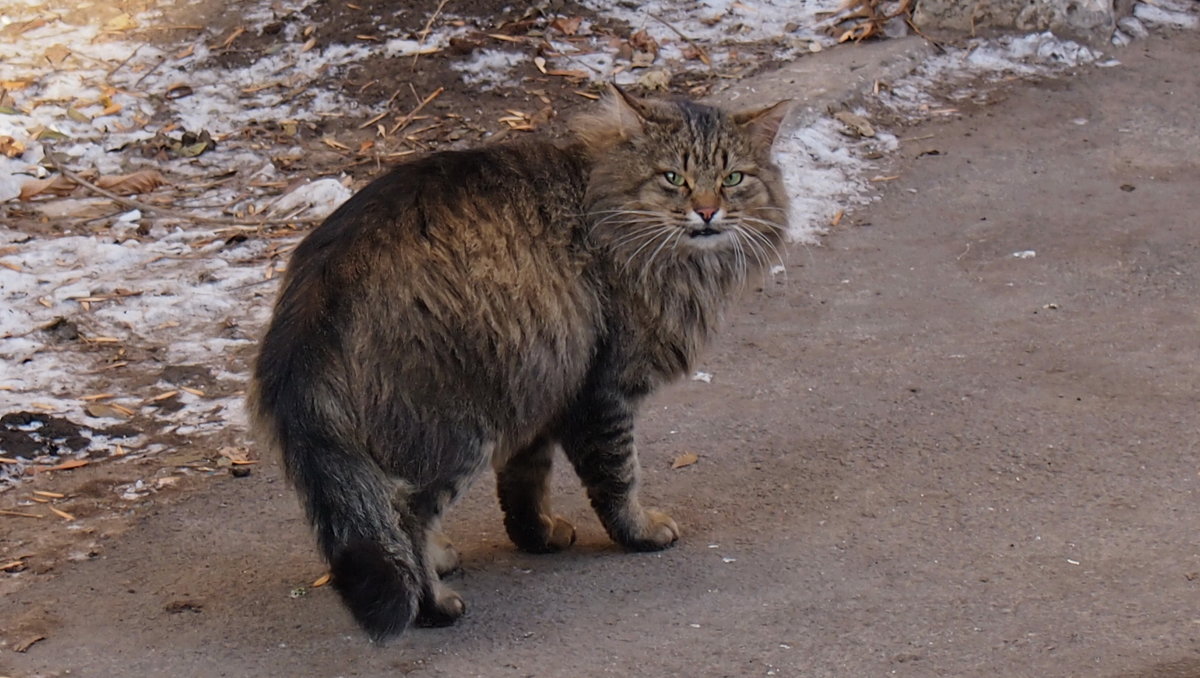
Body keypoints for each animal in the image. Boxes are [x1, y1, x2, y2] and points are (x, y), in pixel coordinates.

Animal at [248, 85, 792, 638]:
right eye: (673, 178)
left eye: (733, 179)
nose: (707, 212)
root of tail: (312, 296)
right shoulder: (604, 390)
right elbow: (618, 476)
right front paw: (639, 532)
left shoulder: (542, 388)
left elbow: (525, 483)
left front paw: (537, 536)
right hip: (458, 427)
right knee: (405, 512)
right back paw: (433, 604)